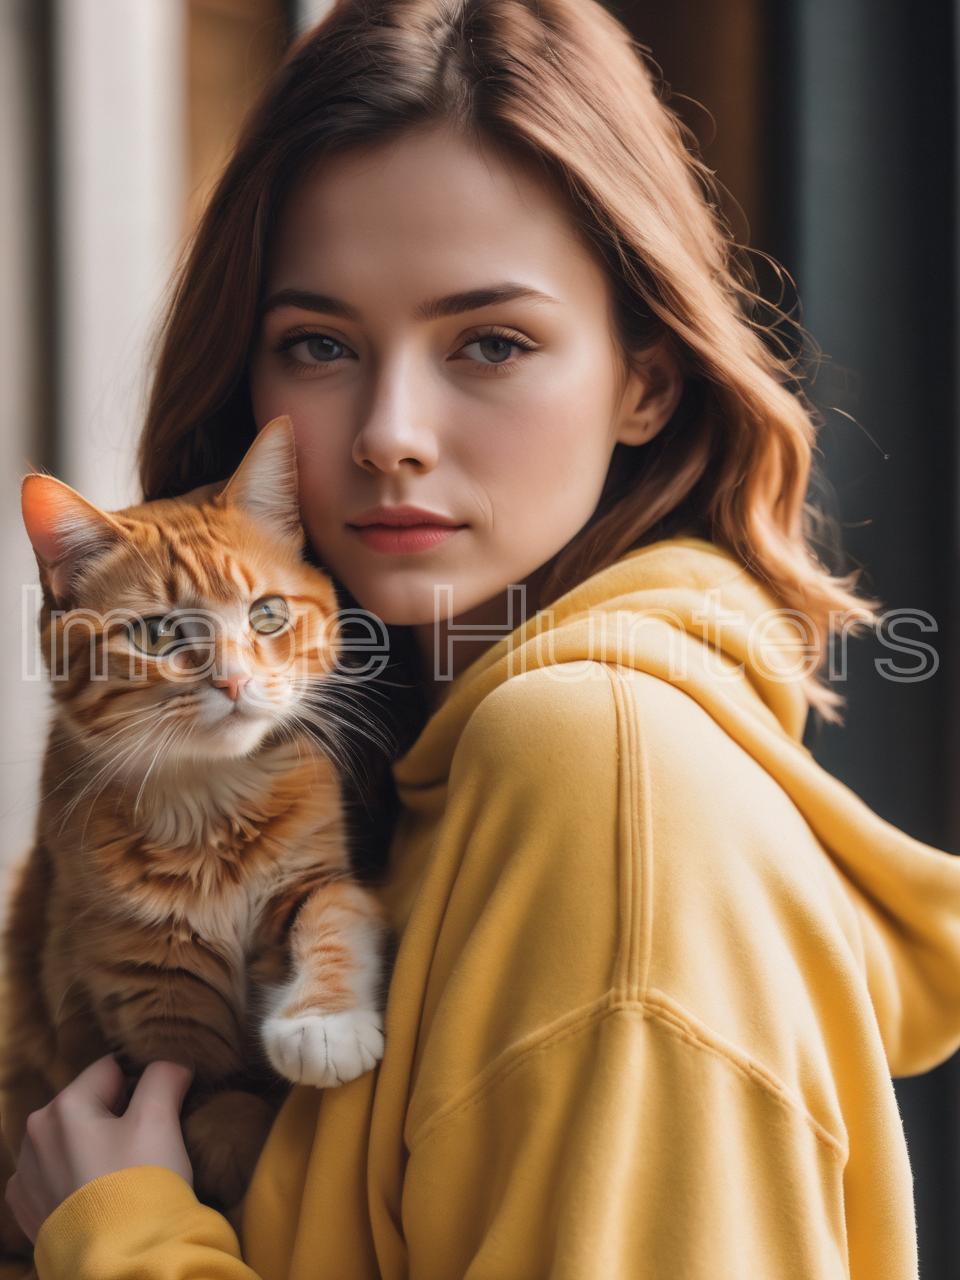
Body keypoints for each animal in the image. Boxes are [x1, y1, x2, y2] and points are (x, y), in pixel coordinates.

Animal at [1, 417, 389, 1239]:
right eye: (156, 635)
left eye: (267, 614)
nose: (235, 681)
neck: (211, 815)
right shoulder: (144, 994)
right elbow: (208, 1099)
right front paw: (226, 1141)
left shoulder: (323, 876)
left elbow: (335, 917)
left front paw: (323, 1025)